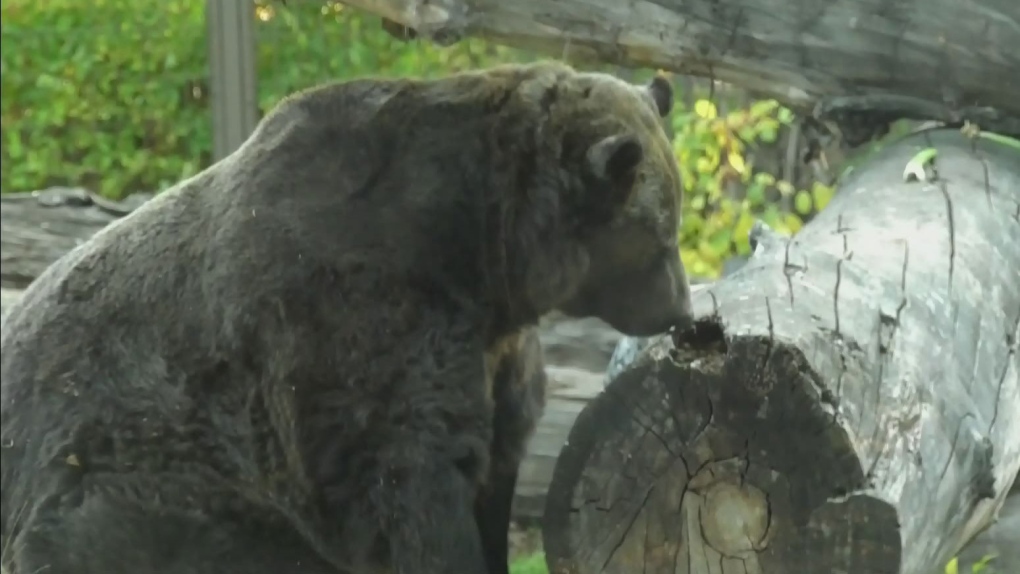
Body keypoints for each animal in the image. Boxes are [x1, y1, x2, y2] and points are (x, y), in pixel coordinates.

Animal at [0, 61, 693, 574]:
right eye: (660, 236)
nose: (681, 308)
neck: (483, 256)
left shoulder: (494, 356)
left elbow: (494, 466)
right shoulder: (351, 321)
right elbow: (406, 480)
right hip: (137, 472)